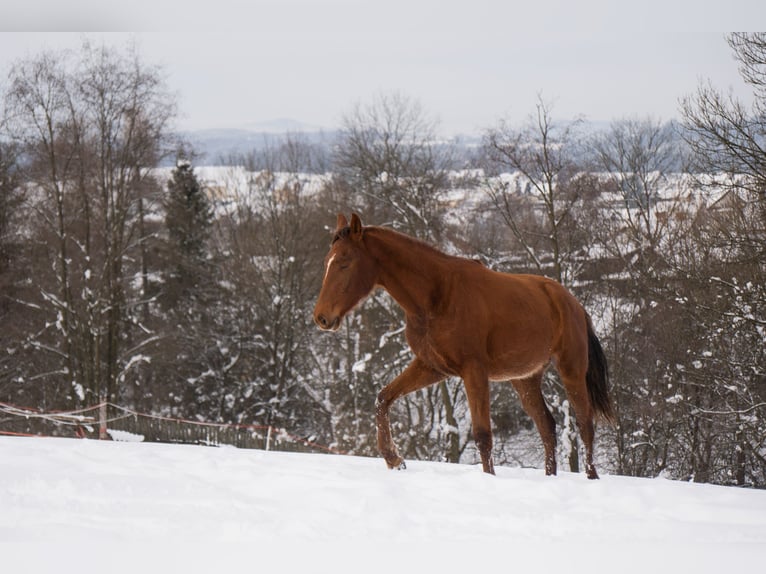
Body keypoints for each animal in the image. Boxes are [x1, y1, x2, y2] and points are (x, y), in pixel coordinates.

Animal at [313, 213, 614, 478]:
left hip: (571, 370)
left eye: (345, 262)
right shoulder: (432, 367)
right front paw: (394, 459)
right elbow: (383, 398)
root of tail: (573, 304)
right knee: (547, 426)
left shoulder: (473, 371)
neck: (436, 295)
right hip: (525, 379)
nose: (321, 317)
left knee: (585, 424)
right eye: (326, 262)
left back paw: (591, 477)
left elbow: (482, 435)